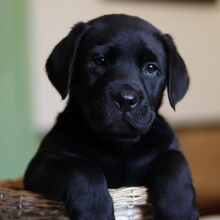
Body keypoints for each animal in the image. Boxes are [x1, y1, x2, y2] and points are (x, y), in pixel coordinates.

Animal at [24, 14, 199, 219]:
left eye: (150, 68)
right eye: (100, 61)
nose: (126, 99)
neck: (119, 145)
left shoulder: (168, 148)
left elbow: (175, 162)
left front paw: (179, 209)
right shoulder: (40, 167)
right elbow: (80, 166)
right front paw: (94, 209)